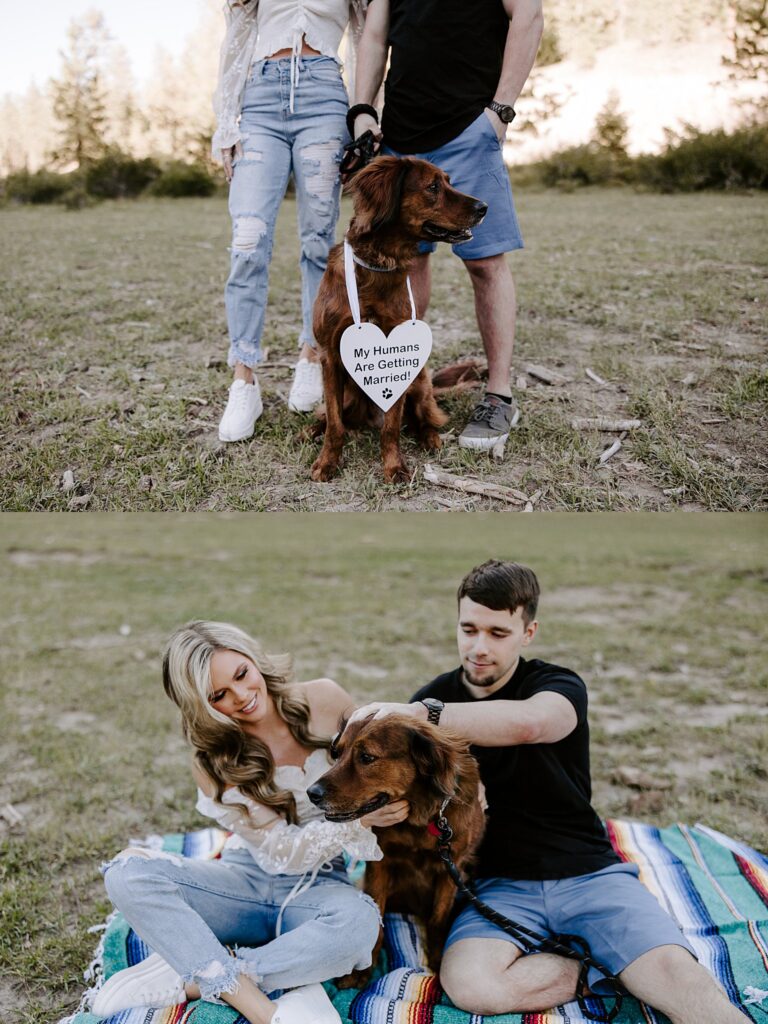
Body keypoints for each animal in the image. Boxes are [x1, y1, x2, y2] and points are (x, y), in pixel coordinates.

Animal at [309, 716, 483, 978]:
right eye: (337, 753)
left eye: (367, 757)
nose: (311, 793)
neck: (419, 818)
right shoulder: (380, 862)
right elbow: (377, 914)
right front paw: (364, 971)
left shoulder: (451, 867)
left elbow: (438, 919)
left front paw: (437, 961)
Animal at [311, 155, 487, 483]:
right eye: (433, 187)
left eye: (448, 181)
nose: (484, 207)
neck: (378, 266)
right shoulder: (329, 356)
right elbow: (335, 423)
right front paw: (327, 462)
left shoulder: (400, 364)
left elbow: (392, 427)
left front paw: (394, 467)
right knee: (334, 416)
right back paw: (313, 429)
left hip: (419, 381)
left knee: (424, 419)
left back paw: (430, 438)